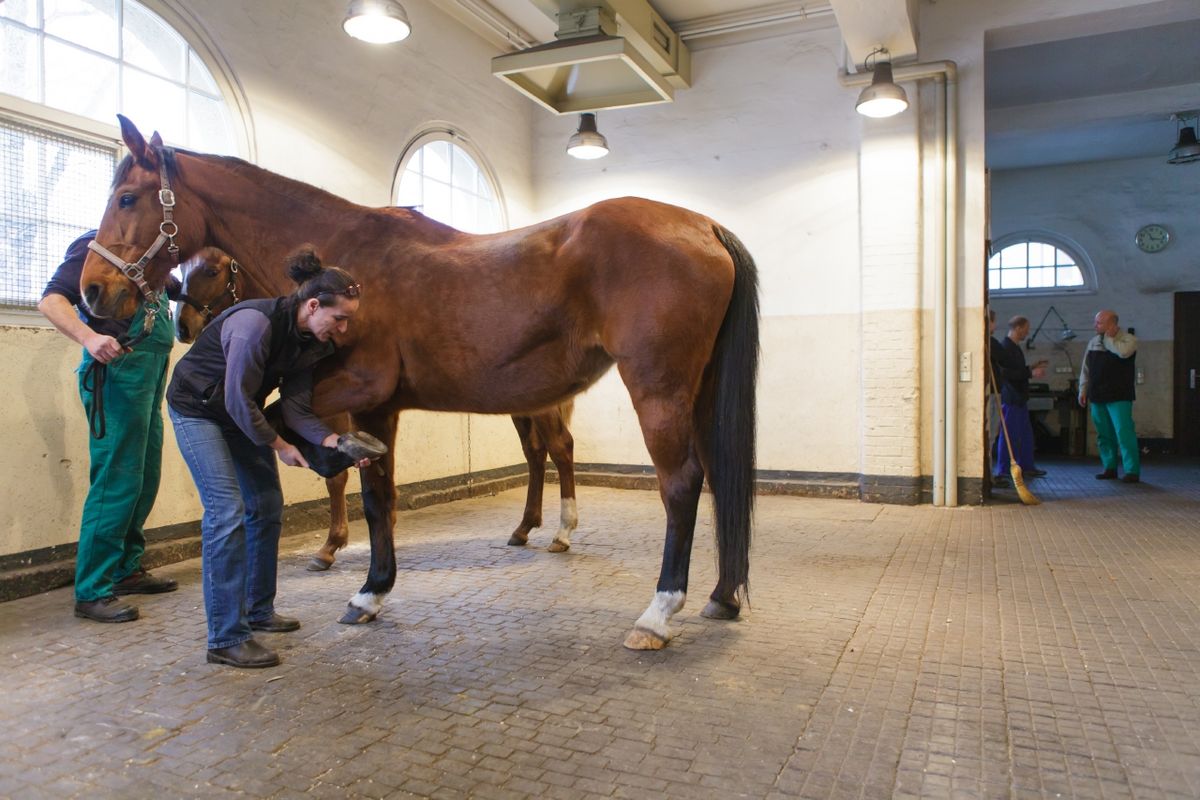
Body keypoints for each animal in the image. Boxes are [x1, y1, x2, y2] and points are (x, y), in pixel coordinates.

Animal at [175, 247, 583, 566]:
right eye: (182, 270)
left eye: (210, 271)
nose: (183, 326)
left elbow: (337, 476)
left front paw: (331, 545)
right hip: (523, 407)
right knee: (534, 452)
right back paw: (523, 528)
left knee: (560, 447)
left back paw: (561, 534)